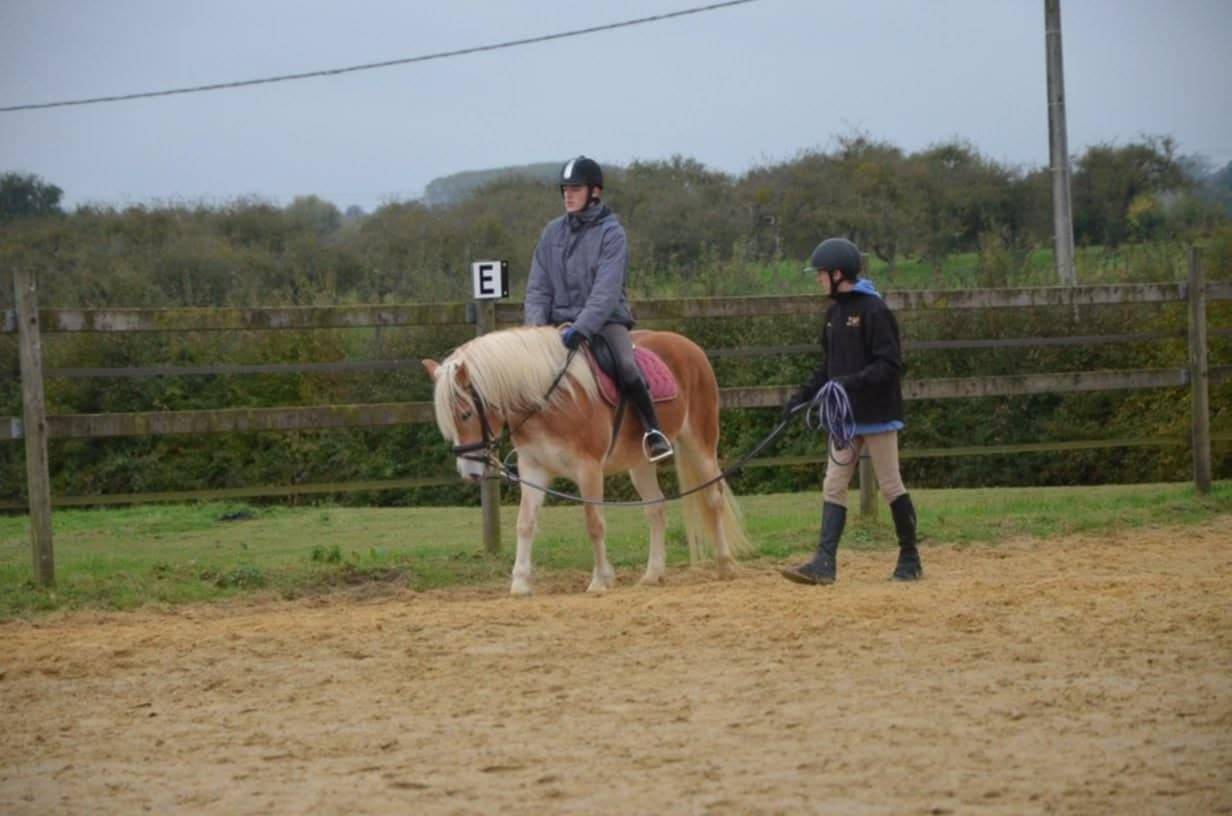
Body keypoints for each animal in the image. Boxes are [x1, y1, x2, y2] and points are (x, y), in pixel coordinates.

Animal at [422, 325, 750, 596]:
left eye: (465, 414)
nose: (469, 472)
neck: (550, 400)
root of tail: (688, 346)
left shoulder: (588, 469)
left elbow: (594, 523)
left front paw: (600, 580)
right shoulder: (534, 470)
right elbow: (525, 523)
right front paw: (520, 583)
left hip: (700, 444)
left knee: (713, 498)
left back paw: (725, 565)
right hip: (640, 463)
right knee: (656, 508)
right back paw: (652, 574)